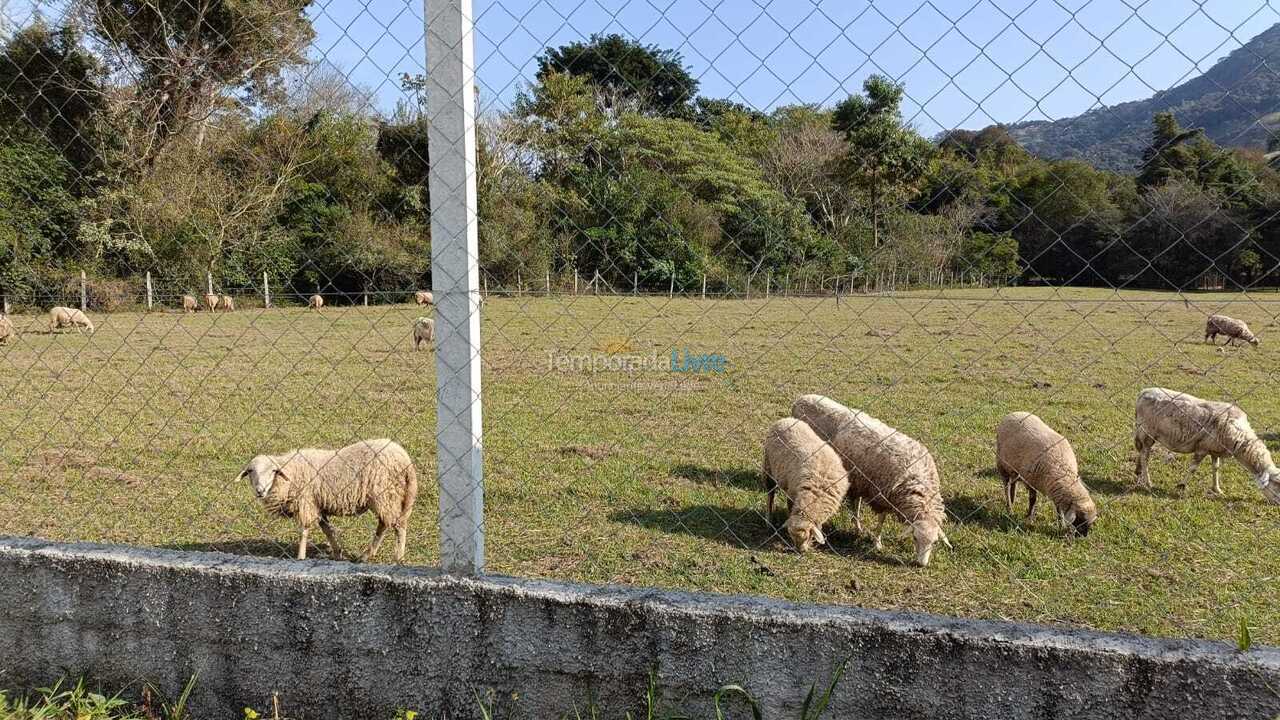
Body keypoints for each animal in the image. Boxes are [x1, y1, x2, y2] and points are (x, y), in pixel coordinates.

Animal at [238, 438, 422, 561]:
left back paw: (395, 557)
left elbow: (304, 530)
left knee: (395, 525)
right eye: (251, 471)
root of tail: (404, 458)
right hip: (389, 497)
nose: (260, 491)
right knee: (387, 524)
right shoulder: (318, 504)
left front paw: (301, 557)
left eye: (273, 471)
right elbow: (327, 529)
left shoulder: (306, 502)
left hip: (384, 495)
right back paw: (370, 555)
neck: (290, 474)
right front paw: (337, 552)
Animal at [757, 415, 849, 548]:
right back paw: (768, 521)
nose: (800, 550)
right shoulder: (792, 493)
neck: (816, 491)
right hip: (768, 468)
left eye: (809, 536)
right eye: (791, 537)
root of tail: (785, 419)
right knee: (770, 495)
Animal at [1141, 384, 1280, 502]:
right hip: (1147, 433)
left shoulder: (1214, 450)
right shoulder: (1202, 448)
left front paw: (1217, 489)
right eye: (1277, 485)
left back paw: (1139, 474)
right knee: (1144, 456)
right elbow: (1193, 468)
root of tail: (1143, 392)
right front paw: (1181, 485)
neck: (1240, 438)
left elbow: (1216, 468)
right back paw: (1147, 482)